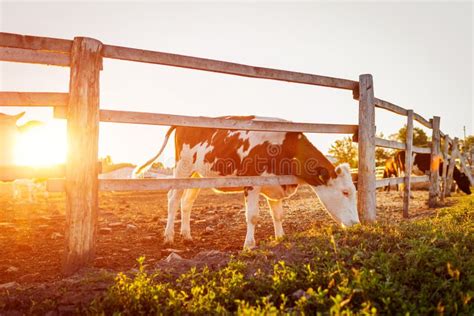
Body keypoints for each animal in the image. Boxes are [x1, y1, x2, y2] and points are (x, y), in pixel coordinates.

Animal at [134, 116, 360, 249]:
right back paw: (169, 236)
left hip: (198, 175)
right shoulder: (252, 183)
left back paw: (187, 236)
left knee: (186, 202)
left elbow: (278, 215)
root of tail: (185, 122)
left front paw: (281, 238)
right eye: (345, 192)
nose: (357, 224)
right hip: (183, 167)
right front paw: (249, 245)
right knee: (173, 198)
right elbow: (252, 216)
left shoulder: (276, 185)